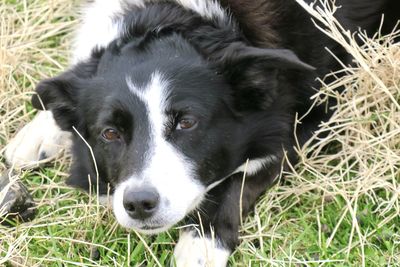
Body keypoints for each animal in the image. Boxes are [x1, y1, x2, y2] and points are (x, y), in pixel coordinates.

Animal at [4, 0, 398, 266]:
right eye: (110, 133)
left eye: (187, 123)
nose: (139, 204)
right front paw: (41, 129)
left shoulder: (314, 115)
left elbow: (239, 180)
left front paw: (202, 244)